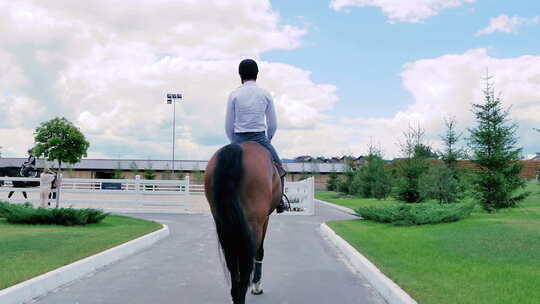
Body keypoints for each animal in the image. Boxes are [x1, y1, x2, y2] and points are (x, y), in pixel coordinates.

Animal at [205, 141, 282, 302]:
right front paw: (257, 286)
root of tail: (237, 148)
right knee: (248, 260)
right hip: (254, 224)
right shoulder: (265, 220)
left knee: (232, 261)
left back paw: (236, 294)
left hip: (223, 225)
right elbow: (259, 252)